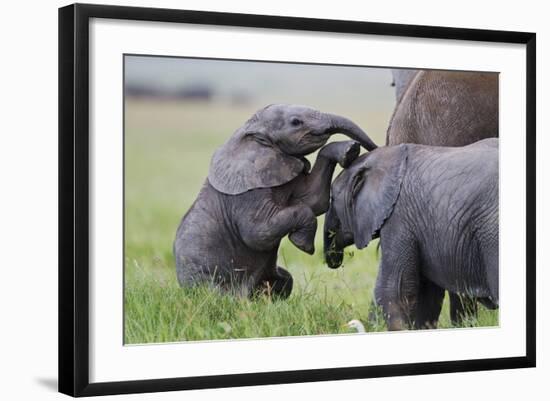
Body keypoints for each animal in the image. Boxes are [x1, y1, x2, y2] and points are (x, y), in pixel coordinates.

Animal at [176, 103, 380, 296]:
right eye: (296, 122)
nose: (376, 149)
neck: (251, 132)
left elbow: (314, 200)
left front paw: (350, 150)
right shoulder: (248, 191)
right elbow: (258, 234)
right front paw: (303, 245)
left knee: (286, 281)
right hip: (206, 280)